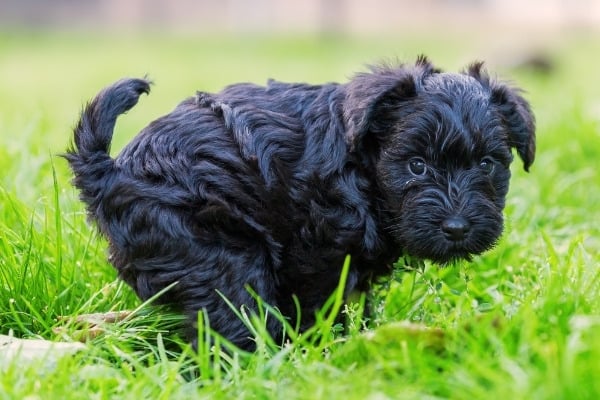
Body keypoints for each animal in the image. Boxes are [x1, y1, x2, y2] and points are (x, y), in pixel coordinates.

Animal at [65, 57, 536, 350]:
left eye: (488, 164)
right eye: (416, 166)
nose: (456, 227)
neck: (361, 169)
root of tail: (108, 171)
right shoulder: (318, 253)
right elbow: (319, 306)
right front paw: (328, 349)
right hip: (218, 253)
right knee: (231, 317)